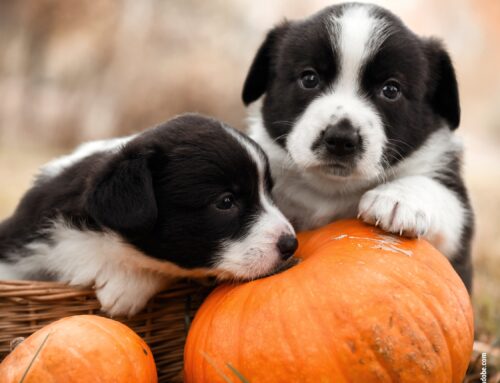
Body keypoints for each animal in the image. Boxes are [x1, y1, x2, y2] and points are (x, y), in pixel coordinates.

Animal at [242, 3, 472, 290]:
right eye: (309, 78)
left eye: (391, 90)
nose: (341, 140)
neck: (332, 189)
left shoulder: (458, 232)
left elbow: (441, 195)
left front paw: (397, 199)